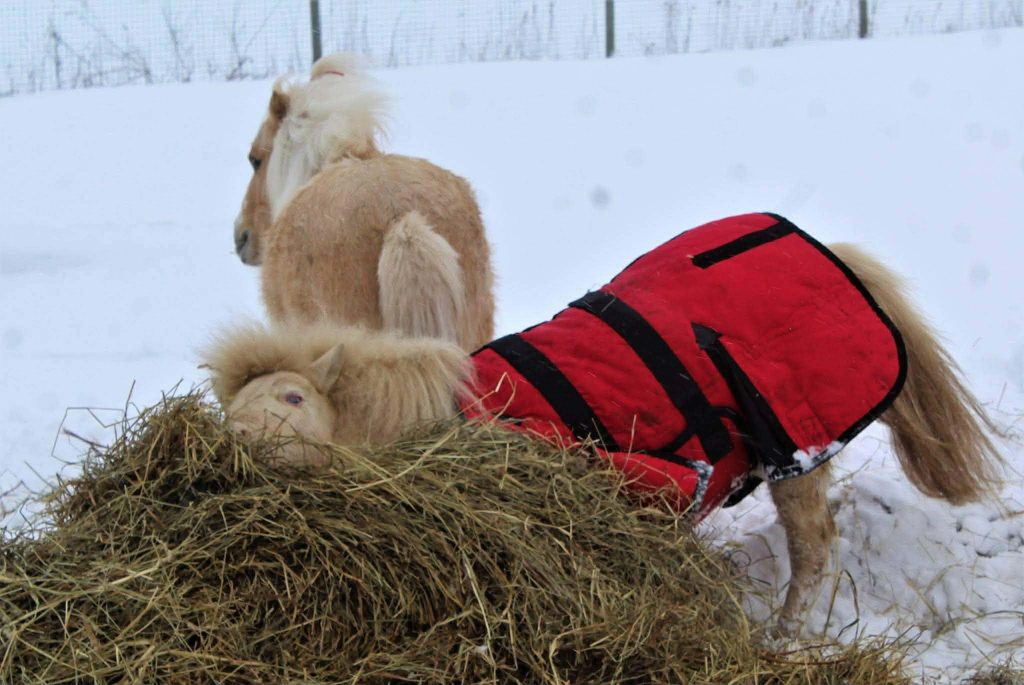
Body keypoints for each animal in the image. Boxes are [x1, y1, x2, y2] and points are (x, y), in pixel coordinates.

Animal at [205, 214, 1003, 637]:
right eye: (235, 407)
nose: (231, 444)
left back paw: (783, 637)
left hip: (795, 456)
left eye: (293, 398)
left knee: (815, 551)